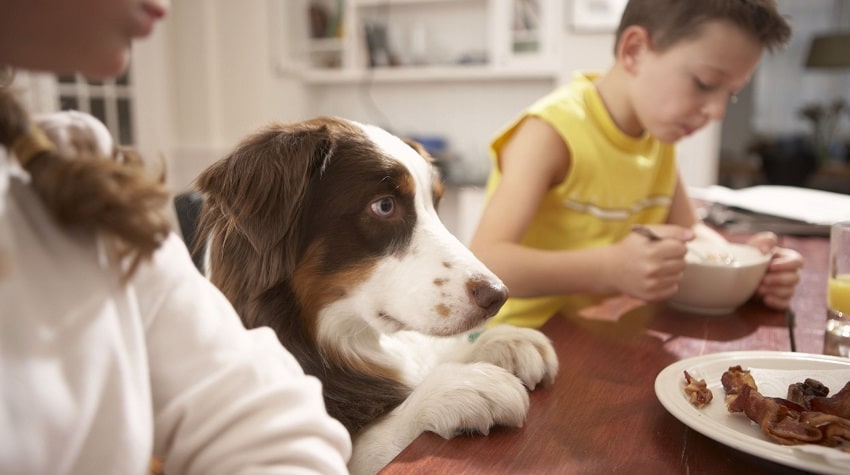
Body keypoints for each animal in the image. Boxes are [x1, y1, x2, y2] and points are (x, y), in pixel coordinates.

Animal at [192, 117, 556, 474]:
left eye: (435, 205)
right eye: (384, 206)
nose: (498, 296)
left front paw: (504, 341)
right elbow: (368, 441)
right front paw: (459, 387)